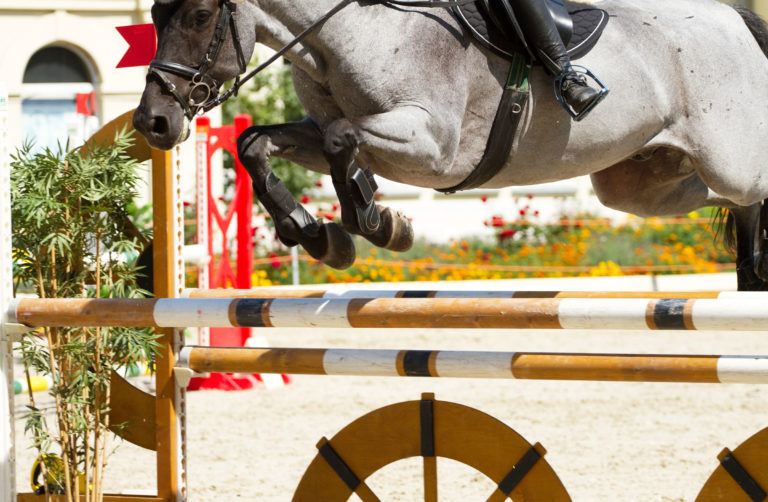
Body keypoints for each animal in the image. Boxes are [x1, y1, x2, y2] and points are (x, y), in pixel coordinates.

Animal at [133, 0, 768, 290]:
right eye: (156, 12)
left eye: (200, 15)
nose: (154, 122)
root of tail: (734, 20)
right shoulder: (331, 128)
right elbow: (255, 143)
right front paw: (317, 235)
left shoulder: (434, 148)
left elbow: (343, 142)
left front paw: (377, 220)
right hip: (638, 183)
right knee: (727, 202)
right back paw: (750, 266)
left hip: (729, 162)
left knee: (749, 192)